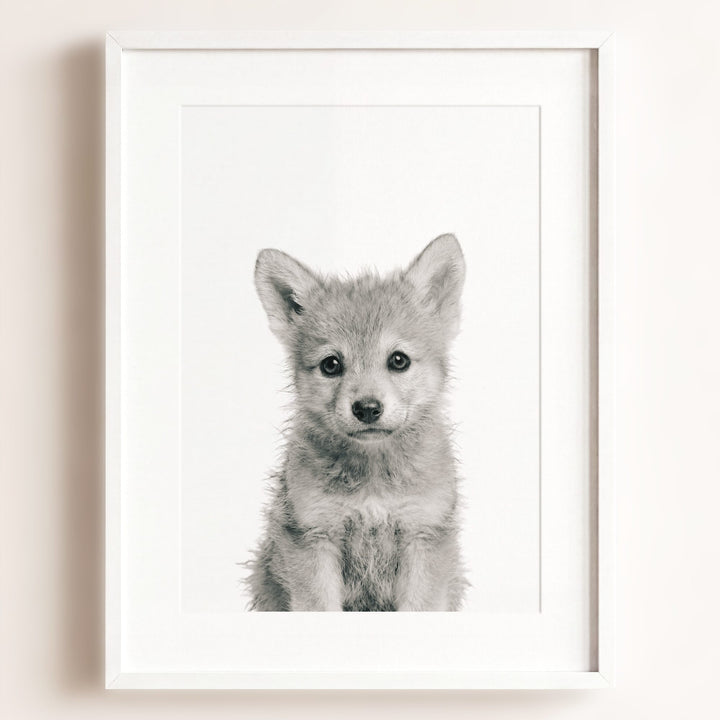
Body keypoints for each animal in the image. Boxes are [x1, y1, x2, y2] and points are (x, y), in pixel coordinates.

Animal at [246, 234, 467, 611]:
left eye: (398, 360)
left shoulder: (423, 535)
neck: (373, 479)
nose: (367, 408)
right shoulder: (314, 537)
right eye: (331, 365)